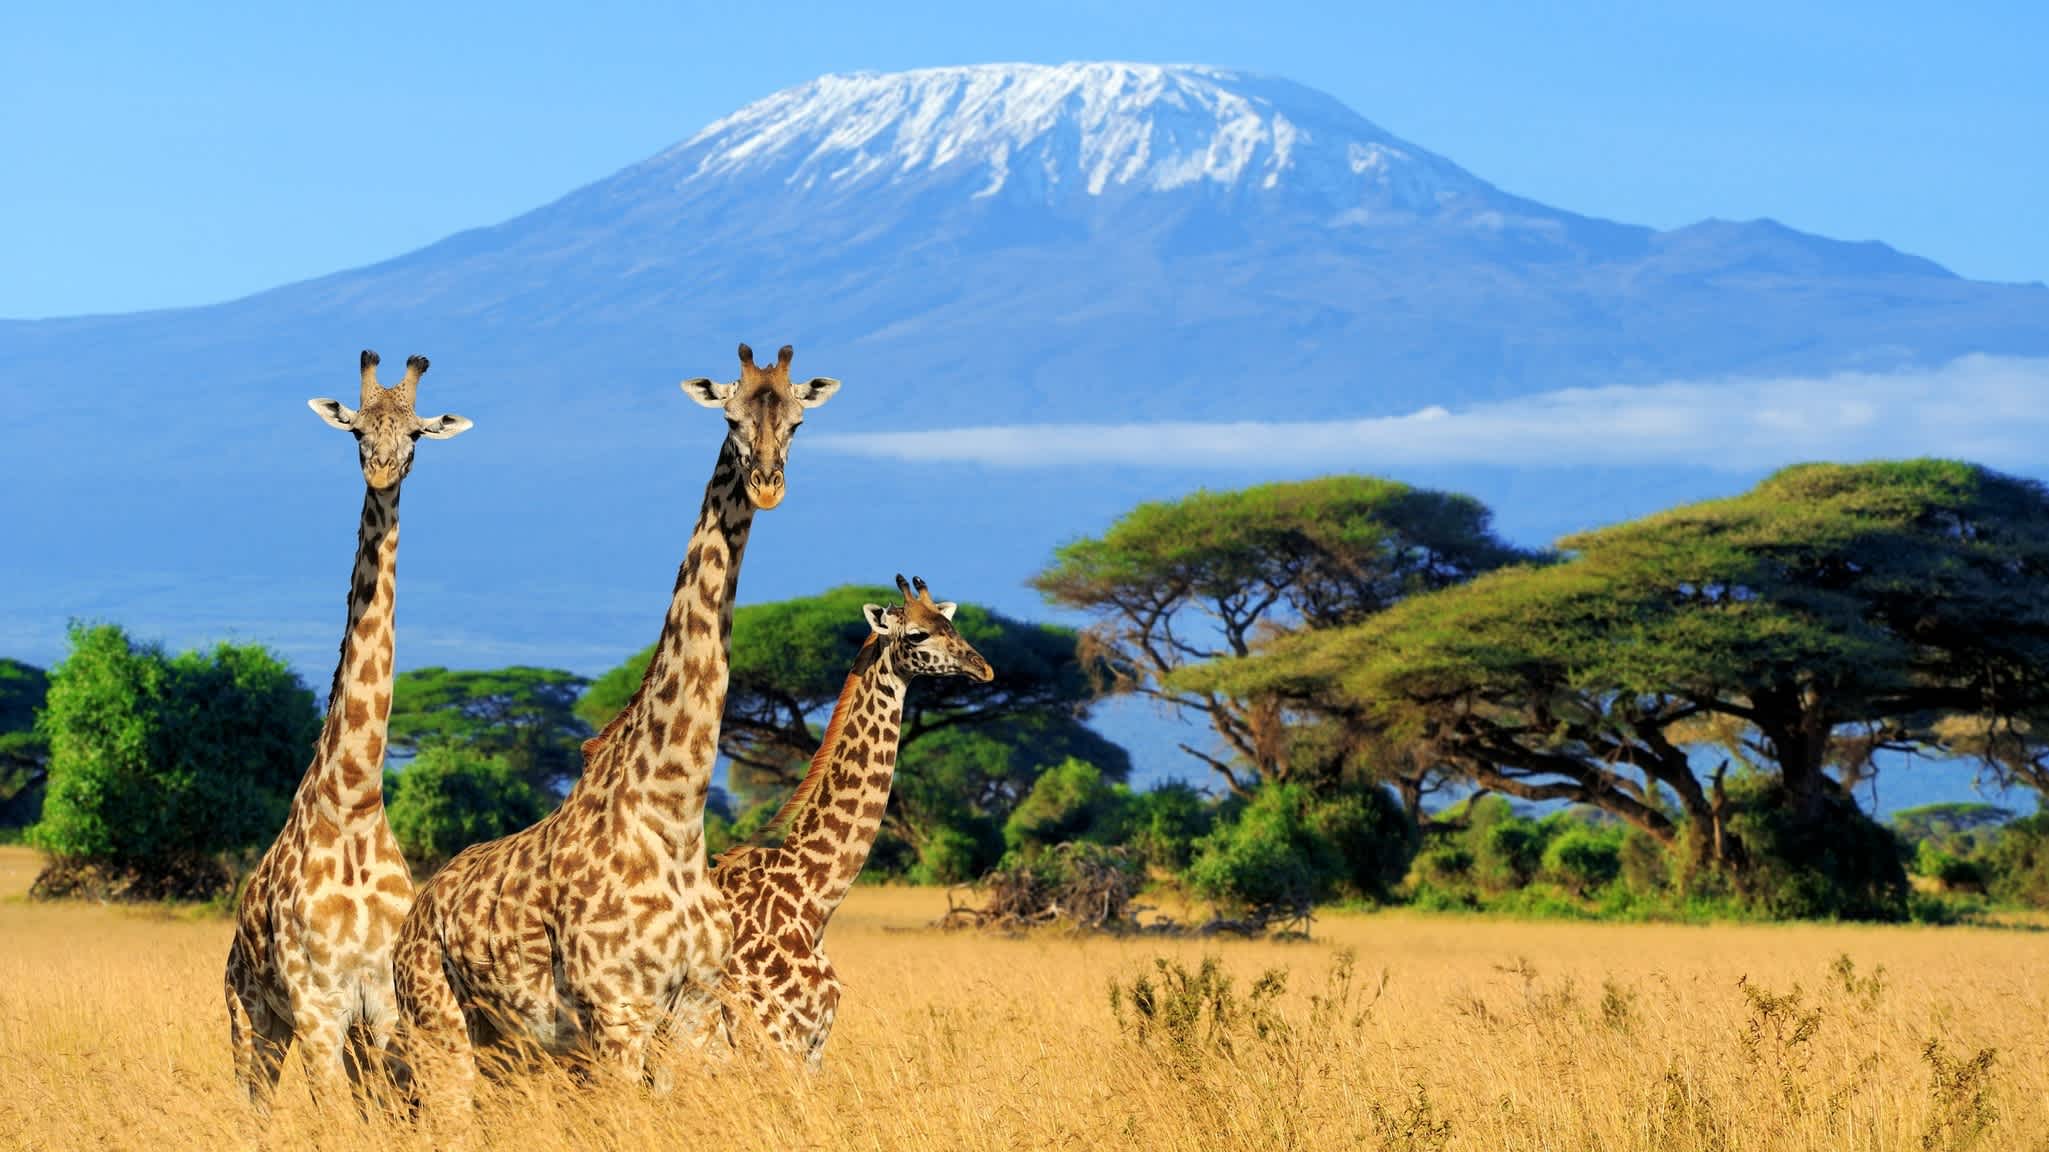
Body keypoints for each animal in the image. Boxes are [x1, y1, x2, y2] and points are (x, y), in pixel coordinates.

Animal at [226, 348, 473, 1106]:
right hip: (250, 1017)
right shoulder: (317, 1004)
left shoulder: (383, 1004)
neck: (356, 800)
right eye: (357, 430)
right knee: (253, 1103)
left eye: (417, 434)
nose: (383, 471)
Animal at [391, 340, 840, 1115]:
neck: (673, 813)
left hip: (506, 1045)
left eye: (797, 421)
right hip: (438, 1025)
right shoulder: (617, 1013)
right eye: (729, 417)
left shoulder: (691, 1012)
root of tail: (414, 917)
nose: (767, 485)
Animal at [684, 573, 995, 1065]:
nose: (983, 669)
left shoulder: (813, 1047)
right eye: (916, 634)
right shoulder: (771, 1042)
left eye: (950, 623)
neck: (812, 901)